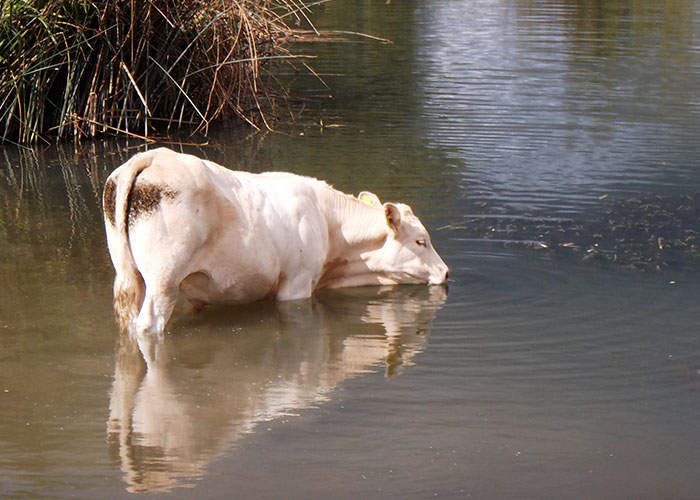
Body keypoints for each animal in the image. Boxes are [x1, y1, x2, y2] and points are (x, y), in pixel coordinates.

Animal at [103, 146, 448, 334]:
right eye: (421, 241)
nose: (446, 272)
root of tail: (154, 156)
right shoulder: (297, 285)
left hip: (130, 275)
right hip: (163, 281)